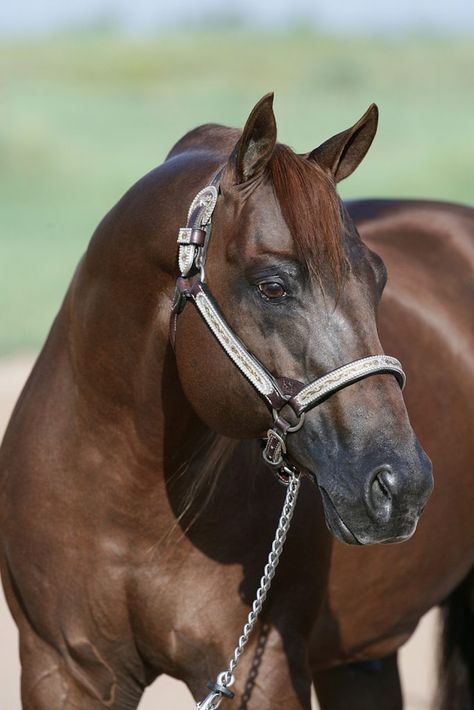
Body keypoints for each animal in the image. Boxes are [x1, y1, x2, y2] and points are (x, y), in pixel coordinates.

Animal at [0, 93, 472, 708]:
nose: (404, 486)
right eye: (272, 286)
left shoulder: (260, 669)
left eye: (379, 279)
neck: (121, 503)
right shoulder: (62, 672)